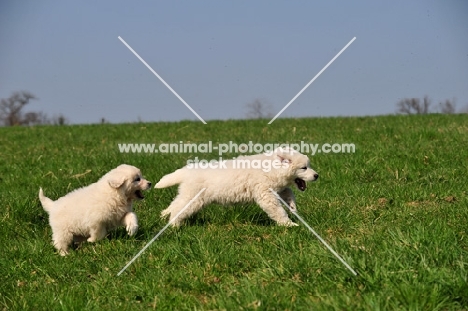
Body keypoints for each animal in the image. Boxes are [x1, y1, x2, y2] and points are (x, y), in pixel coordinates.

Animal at [156, 148, 318, 227]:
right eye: (304, 168)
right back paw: (174, 225)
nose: (317, 175)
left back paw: (164, 216)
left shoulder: (278, 188)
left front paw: (293, 207)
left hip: (187, 195)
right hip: (193, 198)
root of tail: (187, 171)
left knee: (174, 204)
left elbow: (289, 192)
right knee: (178, 209)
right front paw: (289, 224)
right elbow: (278, 211)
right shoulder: (265, 193)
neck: (273, 167)